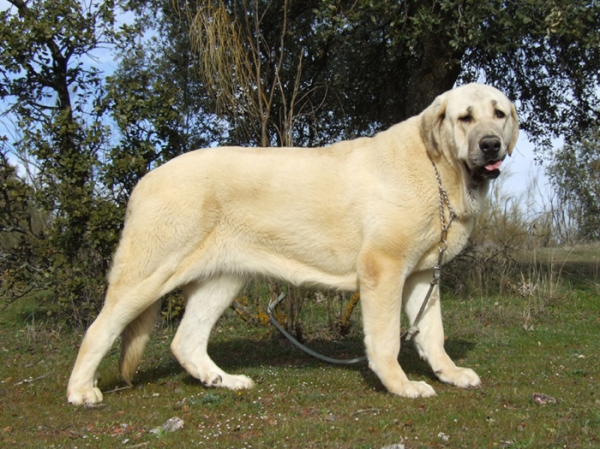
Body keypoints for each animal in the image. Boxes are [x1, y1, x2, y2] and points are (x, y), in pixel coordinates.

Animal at [64, 83, 516, 402]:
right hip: (147, 276)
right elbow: (387, 339)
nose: (491, 144)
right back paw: (81, 391)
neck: (441, 172)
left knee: (186, 341)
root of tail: (145, 180)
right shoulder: (383, 268)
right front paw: (401, 385)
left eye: (499, 114)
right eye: (464, 118)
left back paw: (223, 380)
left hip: (223, 281)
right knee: (99, 330)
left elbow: (431, 333)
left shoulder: (423, 275)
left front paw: (449, 373)